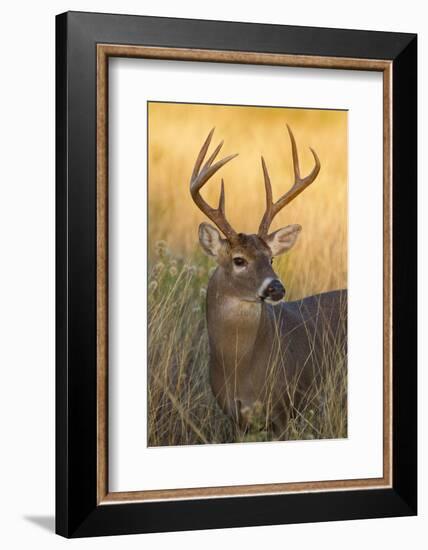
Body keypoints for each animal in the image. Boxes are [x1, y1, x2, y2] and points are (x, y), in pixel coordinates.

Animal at [191, 126, 348, 440]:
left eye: (271, 258)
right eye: (239, 260)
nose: (276, 288)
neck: (240, 367)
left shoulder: (284, 409)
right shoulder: (236, 419)